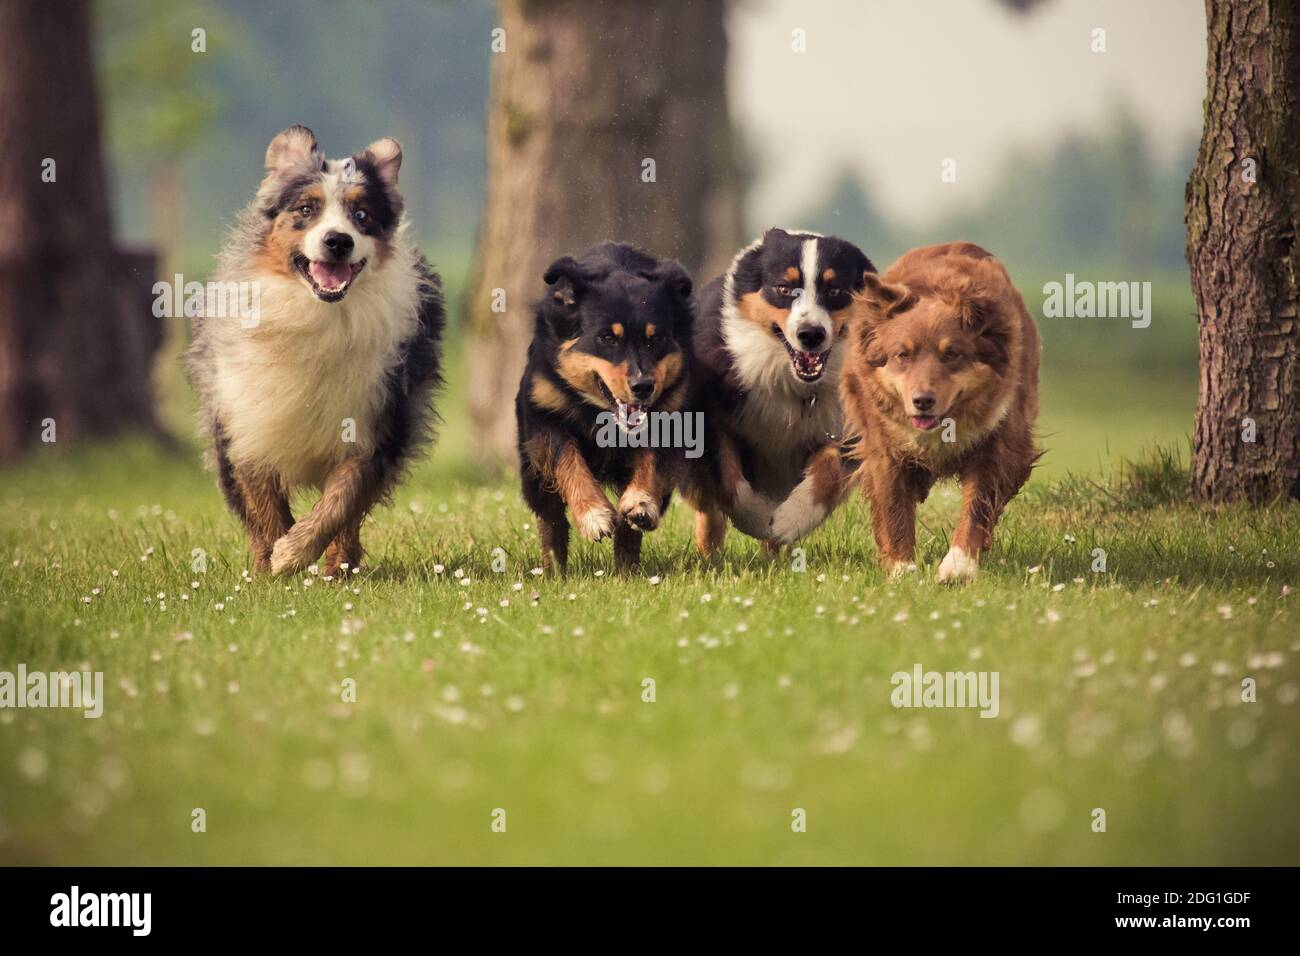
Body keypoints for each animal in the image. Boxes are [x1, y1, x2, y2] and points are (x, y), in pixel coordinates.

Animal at [517, 247, 702, 572]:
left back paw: (626, 567)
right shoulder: (545, 415)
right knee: (550, 517)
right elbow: (569, 462)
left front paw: (640, 503)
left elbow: (652, 461)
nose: (643, 386)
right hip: (532, 470)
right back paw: (555, 569)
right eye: (607, 338)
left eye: (655, 339)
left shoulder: (671, 416)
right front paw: (594, 516)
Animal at [681, 227, 873, 554]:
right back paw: (710, 553)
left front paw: (788, 522)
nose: (811, 334)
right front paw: (759, 519)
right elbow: (728, 481)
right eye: (784, 288)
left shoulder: (847, 428)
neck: (793, 384)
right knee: (707, 509)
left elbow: (828, 474)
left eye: (835, 291)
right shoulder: (710, 420)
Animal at [837, 240, 1040, 582]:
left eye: (952, 354)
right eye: (902, 354)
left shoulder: (999, 441)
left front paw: (958, 566)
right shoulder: (884, 446)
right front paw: (903, 570)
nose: (923, 400)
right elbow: (893, 506)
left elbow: (978, 504)